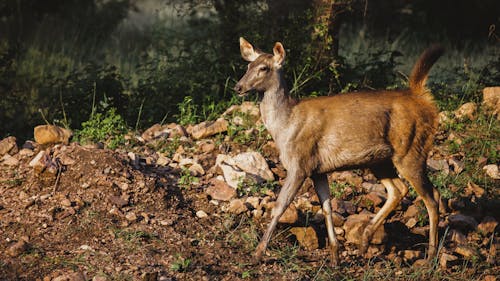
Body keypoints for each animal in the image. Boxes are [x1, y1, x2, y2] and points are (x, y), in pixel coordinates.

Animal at [232, 37, 444, 264]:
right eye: (248, 66)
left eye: (264, 68)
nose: (238, 87)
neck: (285, 124)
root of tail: (422, 97)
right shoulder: (318, 170)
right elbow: (326, 207)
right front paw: (335, 255)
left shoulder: (299, 164)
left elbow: (280, 206)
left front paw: (258, 252)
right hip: (380, 160)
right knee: (398, 190)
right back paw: (364, 240)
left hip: (412, 149)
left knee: (432, 197)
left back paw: (431, 256)